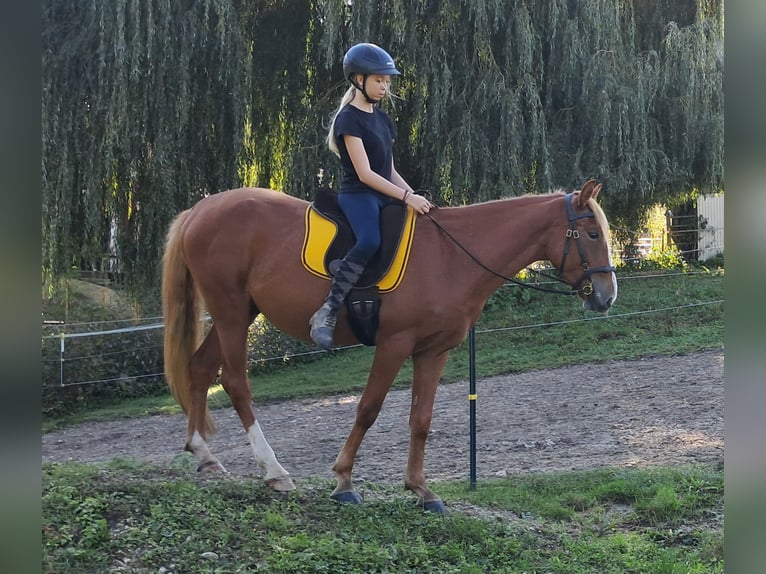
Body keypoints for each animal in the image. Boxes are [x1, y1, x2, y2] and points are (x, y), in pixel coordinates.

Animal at [162, 179, 616, 512]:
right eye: (592, 233)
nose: (607, 296)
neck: (451, 255)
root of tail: (201, 209)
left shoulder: (433, 351)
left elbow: (421, 420)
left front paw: (421, 489)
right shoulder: (394, 343)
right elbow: (368, 409)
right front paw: (344, 481)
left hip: (237, 314)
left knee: (200, 369)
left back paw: (205, 456)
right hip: (230, 312)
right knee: (236, 383)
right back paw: (274, 471)